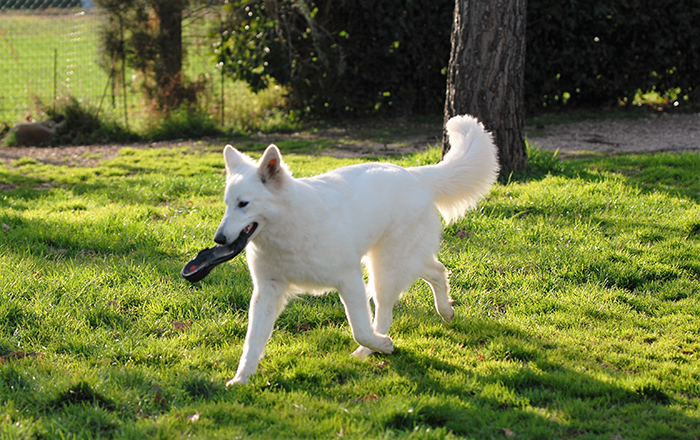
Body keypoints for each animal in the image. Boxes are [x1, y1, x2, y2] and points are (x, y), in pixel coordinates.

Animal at [216, 114, 500, 384]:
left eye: (244, 204)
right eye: (228, 204)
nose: (219, 239)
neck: (289, 228)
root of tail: (414, 175)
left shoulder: (349, 280)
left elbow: (360, 330)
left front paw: (381, 345)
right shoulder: (267, 291)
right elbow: (252, 342)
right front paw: (241, 378)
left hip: (385, 270)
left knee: (385, 313)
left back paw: (373, 348)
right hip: (399, 262)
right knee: (438, 270)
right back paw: (446, 311)